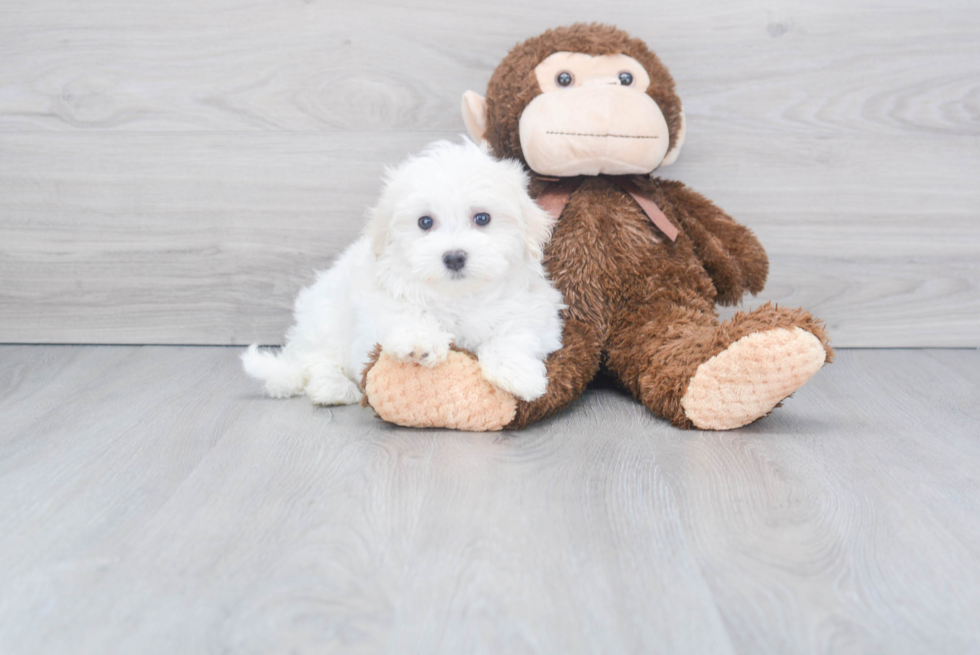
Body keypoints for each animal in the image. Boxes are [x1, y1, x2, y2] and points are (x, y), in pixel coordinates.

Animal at [244, 140, 564, 404]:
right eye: (425, 222)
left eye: (482, 218)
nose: (454, 257)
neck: (458, 295)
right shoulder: (375, 315)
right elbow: (405, 315)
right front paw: (420, 341)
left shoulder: (536, 311)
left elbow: (516, 332)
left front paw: (519, 374)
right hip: (326, 318)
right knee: (319, 360)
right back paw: (333, 388)